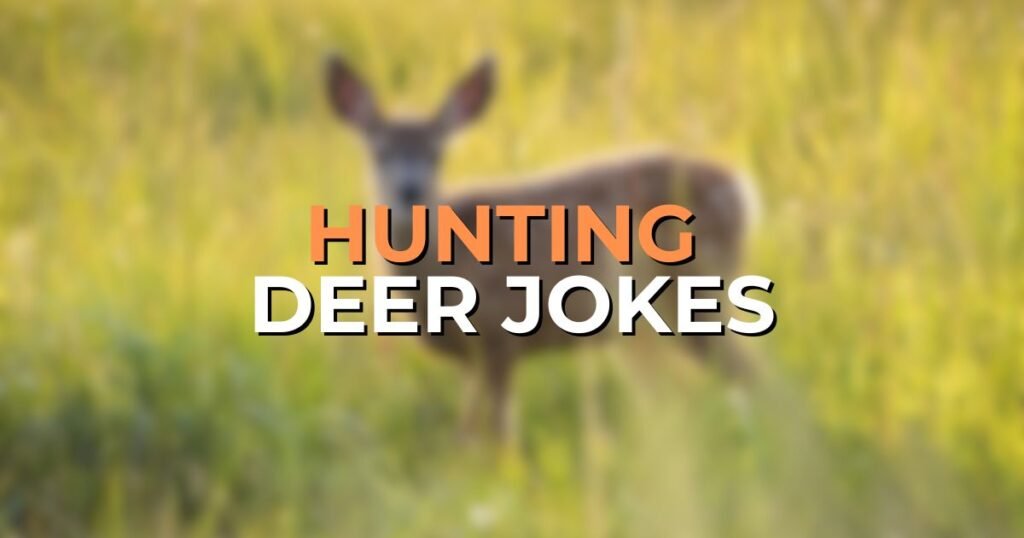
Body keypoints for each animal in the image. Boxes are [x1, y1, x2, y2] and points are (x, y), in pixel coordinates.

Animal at [324, 54, 759, 439]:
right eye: (379, 153)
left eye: (436, 153)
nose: (409, 190)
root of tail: (741, 191)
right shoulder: (474, 361)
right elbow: (466, 431)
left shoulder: (499, 338)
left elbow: (500, 433)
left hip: (692, 292)